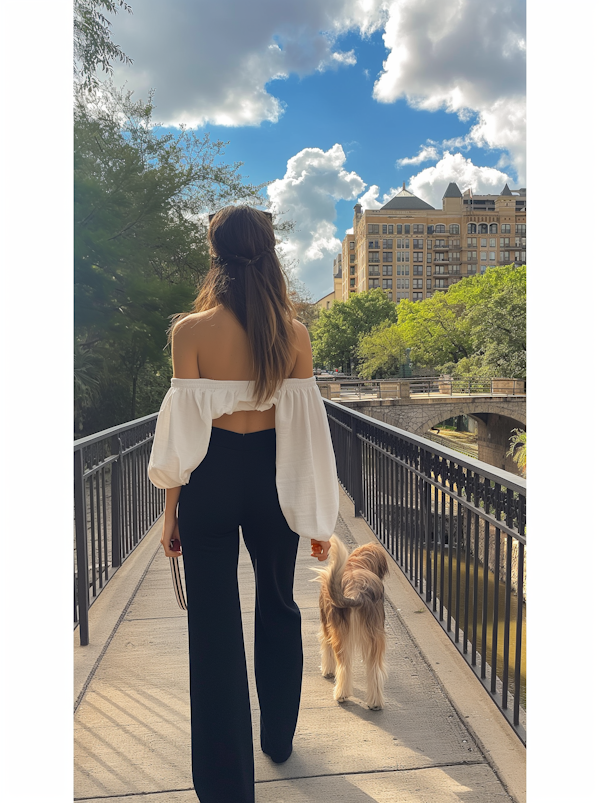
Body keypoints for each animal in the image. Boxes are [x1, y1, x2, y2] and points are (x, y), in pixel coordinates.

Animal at [312, 532, 392, 708]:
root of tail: (356, 592)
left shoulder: (326, 623)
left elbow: (326, 647)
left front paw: (327, 670)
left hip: (339, 632)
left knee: (344, 665)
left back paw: (341, 694)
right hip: (374, 633)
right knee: (374, 669)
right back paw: (375, 702)